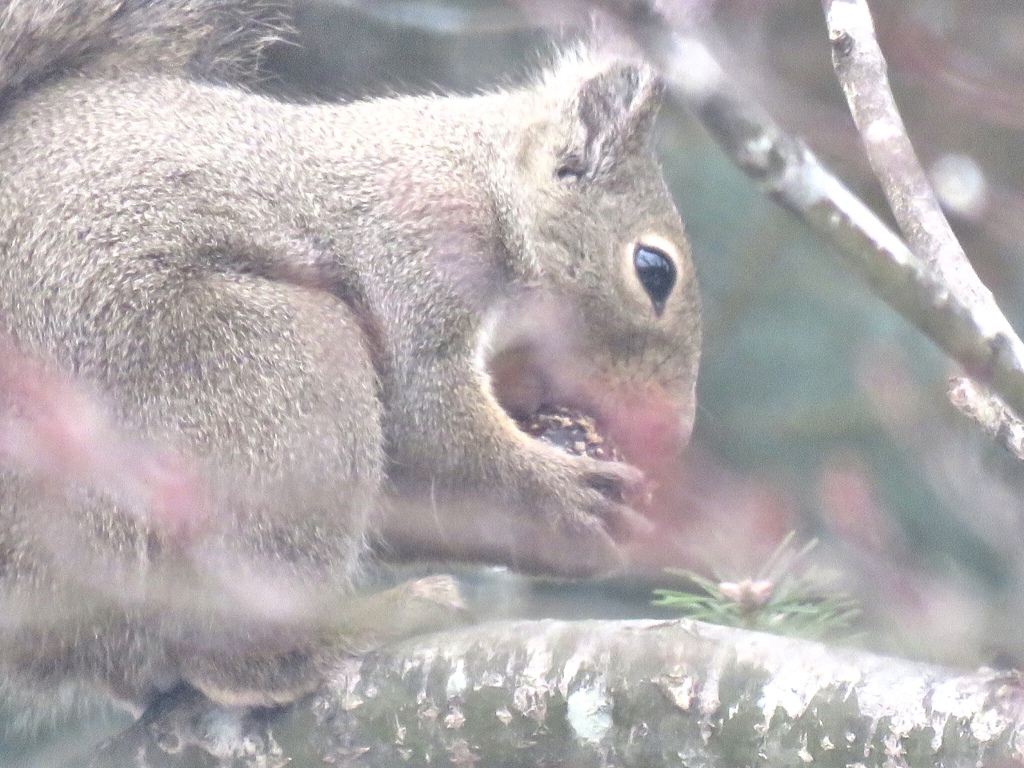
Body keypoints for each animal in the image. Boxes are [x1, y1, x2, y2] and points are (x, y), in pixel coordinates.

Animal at [0, 0, 700, 720]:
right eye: (653, 270)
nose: (670, 431)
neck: (485, 180)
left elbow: (415, 495)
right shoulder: (419, 242)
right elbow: (430, 432)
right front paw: (568, 497)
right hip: (262, 367)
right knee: (235, 649)